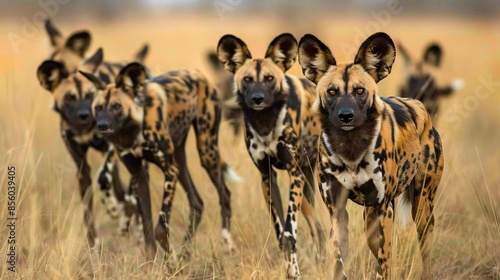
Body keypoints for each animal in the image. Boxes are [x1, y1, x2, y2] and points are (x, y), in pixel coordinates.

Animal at [37, 45, 148, 247]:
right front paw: (93, 244)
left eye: (90, 96)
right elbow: (87, 209)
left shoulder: (111, 149)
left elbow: (103, 177)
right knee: (120, 189)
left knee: (127, 189)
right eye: (69, 98)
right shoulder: (81, 167)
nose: (85, 115)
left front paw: (114, 208)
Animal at [79, 62, 241, 260]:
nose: (101, 126)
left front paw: (170, 261)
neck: (132, 130)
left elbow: (160, 230)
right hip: (180, 160)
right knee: (197, 203)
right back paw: (186, 253)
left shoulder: (169, 171)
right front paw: (154, 264)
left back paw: (228, 245)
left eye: (117, 106)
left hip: (207, 153)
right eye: (98, 107)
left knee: (225, 195)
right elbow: (147, 231)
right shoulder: (139, 175)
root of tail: (198, 73)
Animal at [217, 34, 326, 278]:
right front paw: (290, 272)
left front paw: (295, 272)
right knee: (318, 227)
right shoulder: (267, 177)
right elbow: (280, 235)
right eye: (247, 79)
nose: (257, 99)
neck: (265, 122)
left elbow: (289, 233)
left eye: (269, 79)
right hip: (307, 194)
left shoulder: (294, 174)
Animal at [298, 33, 444, 280]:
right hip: (371, 219)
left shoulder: (383, 207)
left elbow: (384, 265)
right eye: (332, 92)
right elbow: (338, 261)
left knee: (424, 249)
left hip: (421, 208)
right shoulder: (337, 211)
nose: (346, 116)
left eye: (359, 91)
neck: (351, 149)